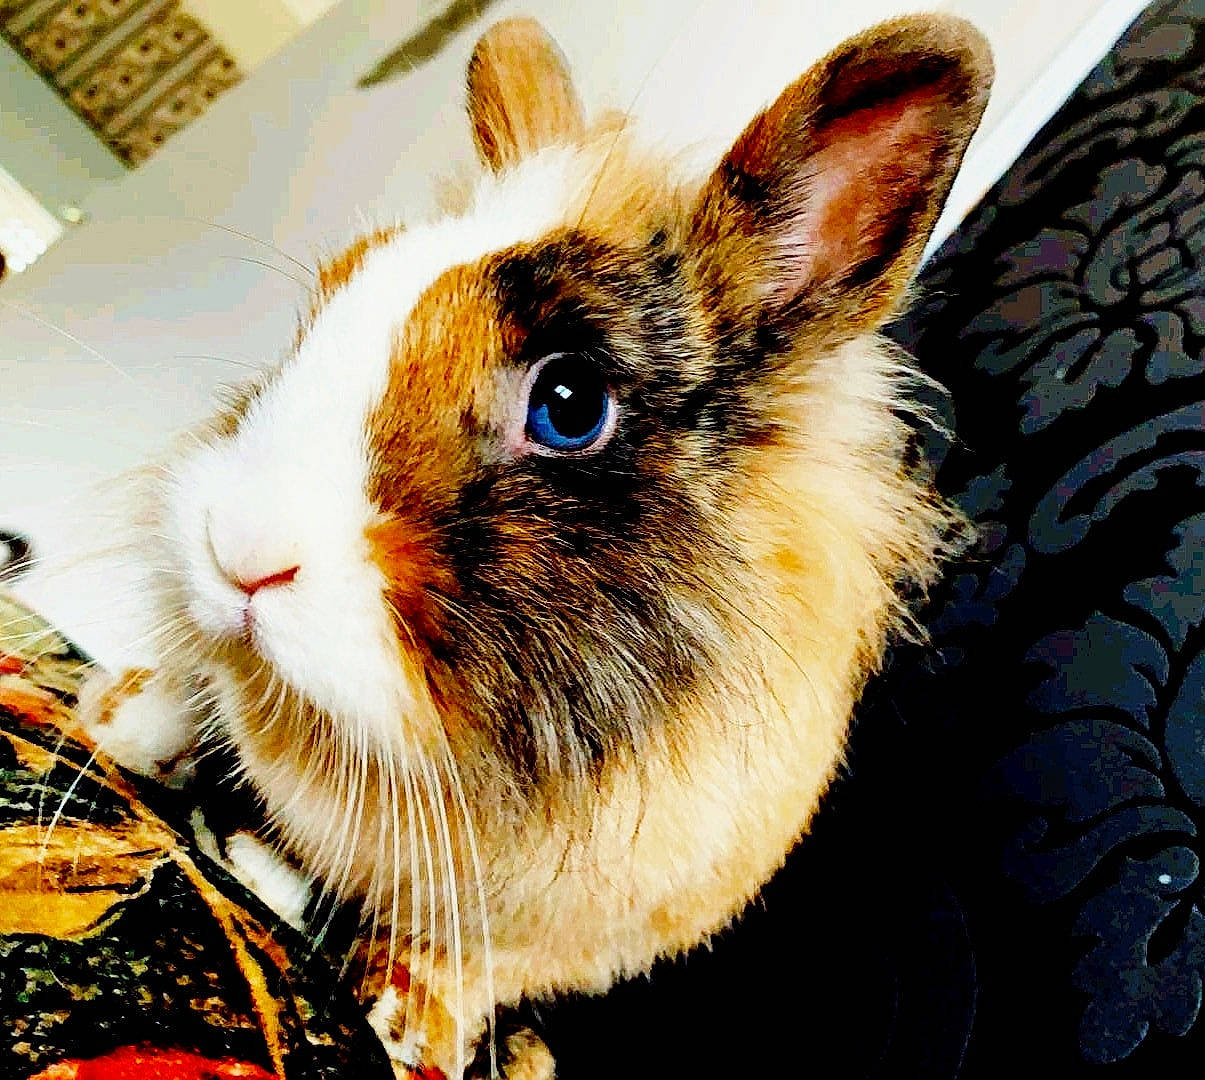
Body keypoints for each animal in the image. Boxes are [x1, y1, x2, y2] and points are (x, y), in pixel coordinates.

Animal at [78, 13, 993, 1079]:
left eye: (568, 404)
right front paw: (124, 722)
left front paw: (407, 1018)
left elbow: (482, 966)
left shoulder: (592, 927)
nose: (239, 550)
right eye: (327, 304)